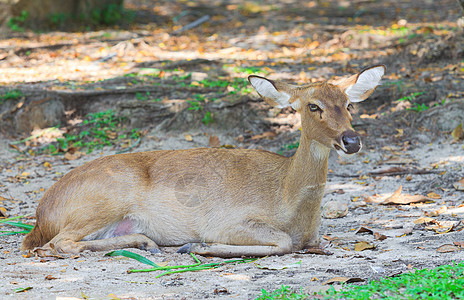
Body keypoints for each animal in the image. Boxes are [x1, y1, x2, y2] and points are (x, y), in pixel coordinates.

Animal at [20, 65, 384, 258]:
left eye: (349, 104)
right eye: (313, 106)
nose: (351, 140)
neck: (287, 199)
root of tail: (42, 214)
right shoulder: (228, 219)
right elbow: (281, 243)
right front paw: (199, 247)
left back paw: (145, 241)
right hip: (105, 196)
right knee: (57, 243)